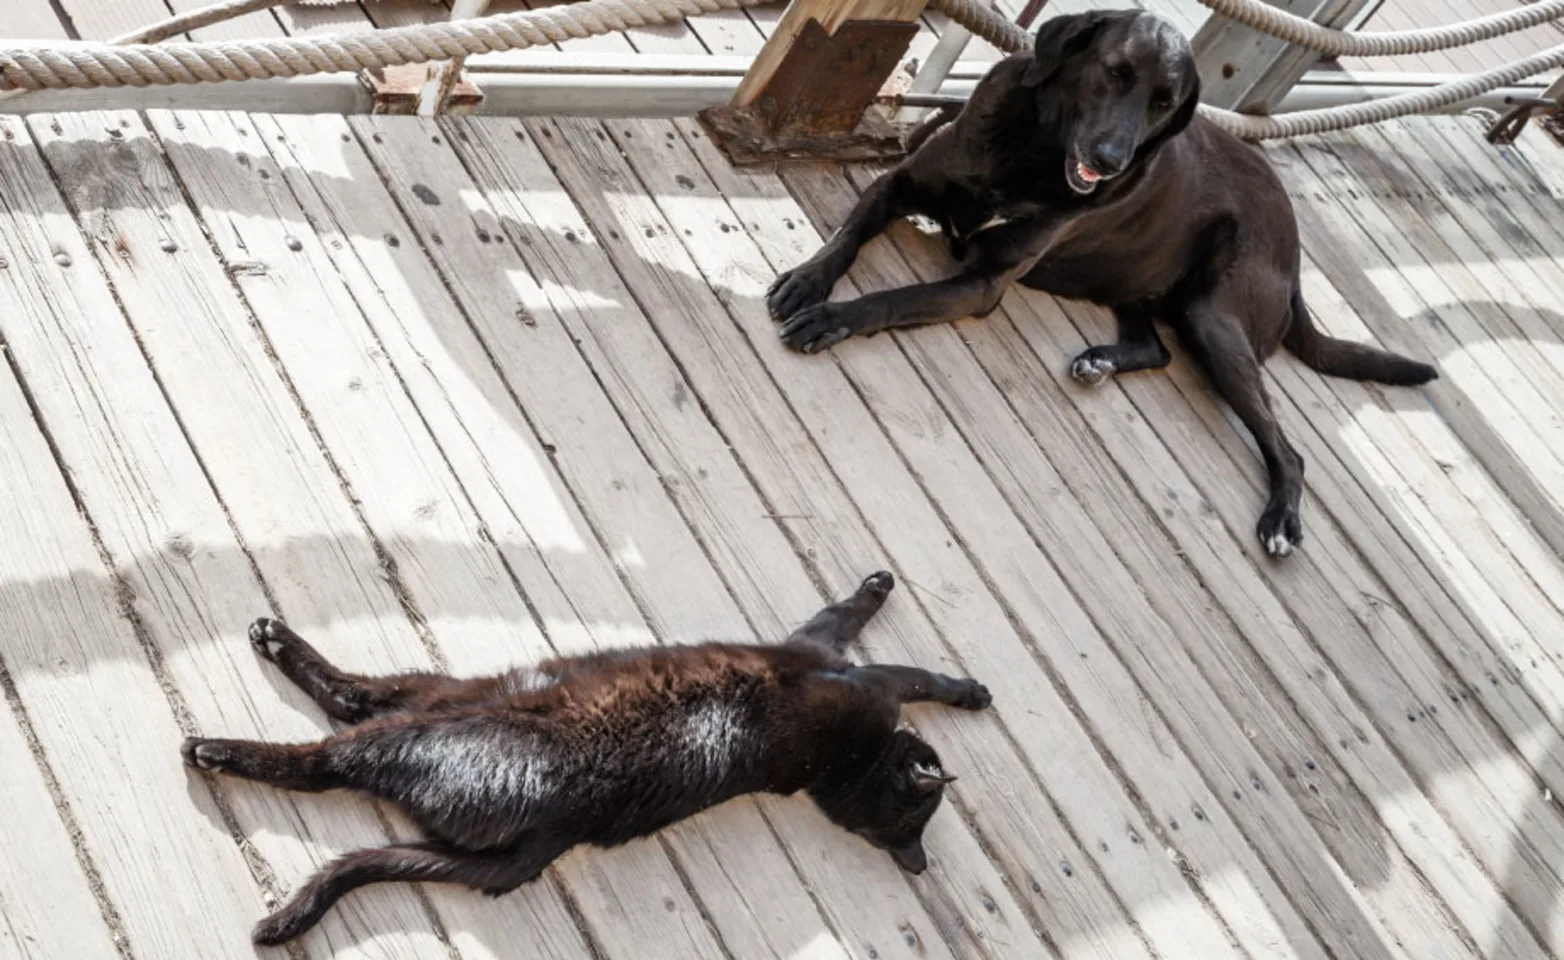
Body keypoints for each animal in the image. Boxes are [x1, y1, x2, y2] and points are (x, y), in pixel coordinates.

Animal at [179, 572, 988, 950]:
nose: (915, 859)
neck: (844, 766)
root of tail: (552, 833)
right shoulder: (832, 659)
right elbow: (884, 644)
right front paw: (972, 688)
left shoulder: (844, 663)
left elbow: (905, 664)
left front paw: (962, 685)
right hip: (448, 689)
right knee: (353, 694)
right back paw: (274, 641)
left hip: (425, 725)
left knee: (325, 758)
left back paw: (215, 745)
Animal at [763, 11, 1432, 559]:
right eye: (1115, 72)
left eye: (1165, 101)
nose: (1113, 159)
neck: (1032, 151)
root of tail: (1294, 255)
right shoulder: (899, 183)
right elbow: (848, 234)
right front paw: (807, 282)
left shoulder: (980, 285)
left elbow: (892, 299)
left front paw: (831, 318)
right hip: (1135, 283)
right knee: (1155, 347)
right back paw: (1102, 361)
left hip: (1211, 317)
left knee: (1287, 450)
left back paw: (1280, 523)